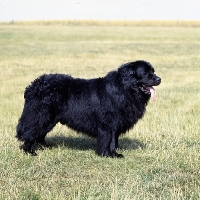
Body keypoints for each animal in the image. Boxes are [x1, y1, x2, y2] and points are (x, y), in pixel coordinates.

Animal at [16, 60, 161, 157]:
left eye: (153, 71)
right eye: (145, 73)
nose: (159, 79)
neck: (124, 89)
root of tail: (33, 86)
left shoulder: (116, 123)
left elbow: (114, 139)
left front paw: (115, 151)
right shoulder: (108, 124)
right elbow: (109, 139)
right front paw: (110, 155)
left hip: (49, 118)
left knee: (40, 133)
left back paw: (45, 147)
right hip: (40, 115)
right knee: (31, 131)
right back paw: (30, 151)